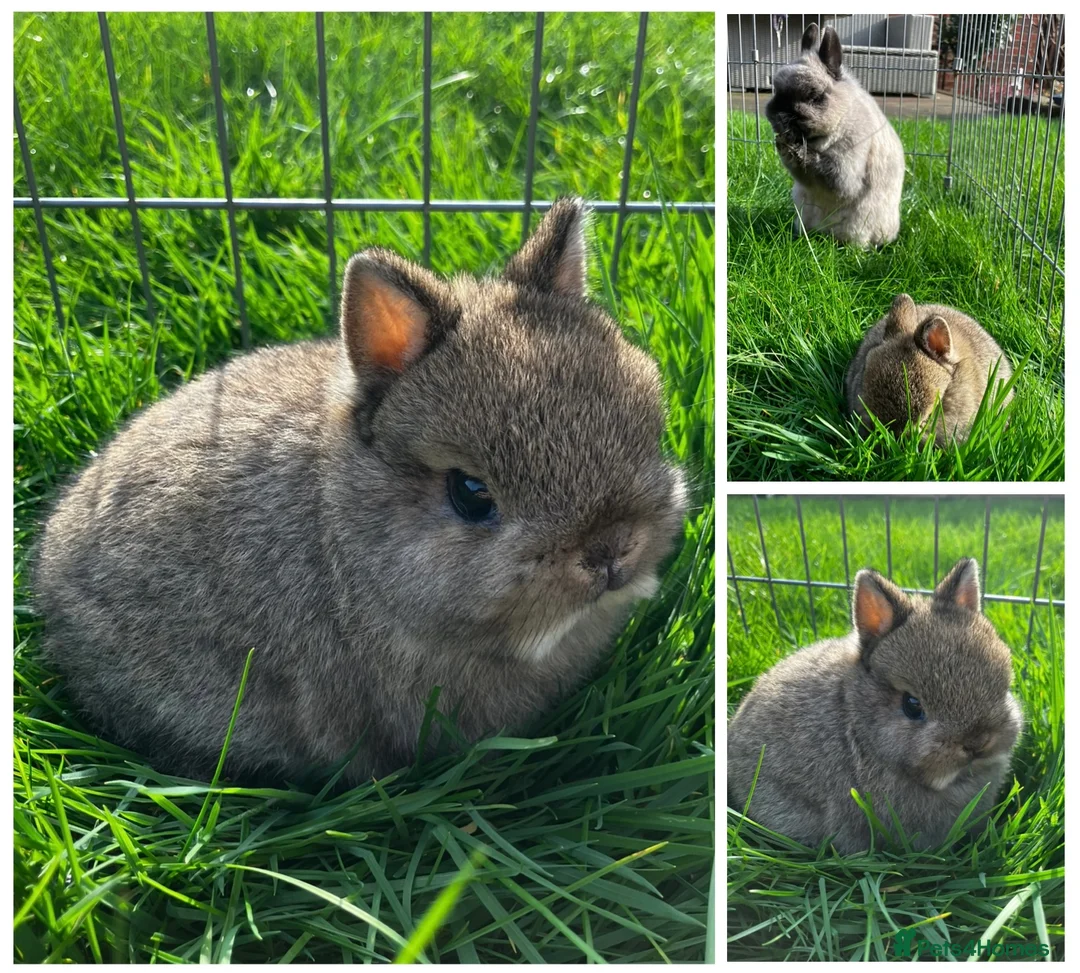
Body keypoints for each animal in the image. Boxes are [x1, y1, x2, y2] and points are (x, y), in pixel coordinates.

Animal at [765, 23, 905, 247]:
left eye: (815, 97)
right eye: (776, 90)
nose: (779, 114)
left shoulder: (844, 167)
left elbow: (827, 174)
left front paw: (792, 148)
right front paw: (782, 142)